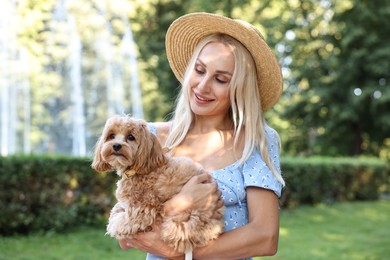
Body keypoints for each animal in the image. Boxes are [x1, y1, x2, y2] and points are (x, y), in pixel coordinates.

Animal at [91, 116, 224, 260]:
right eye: (111, 136)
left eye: (131, 137)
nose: (116, 145)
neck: (137, 170)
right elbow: (117, 208)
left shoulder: (143, 208)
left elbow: (122, 222)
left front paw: (115, 225)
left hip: (181, 221)